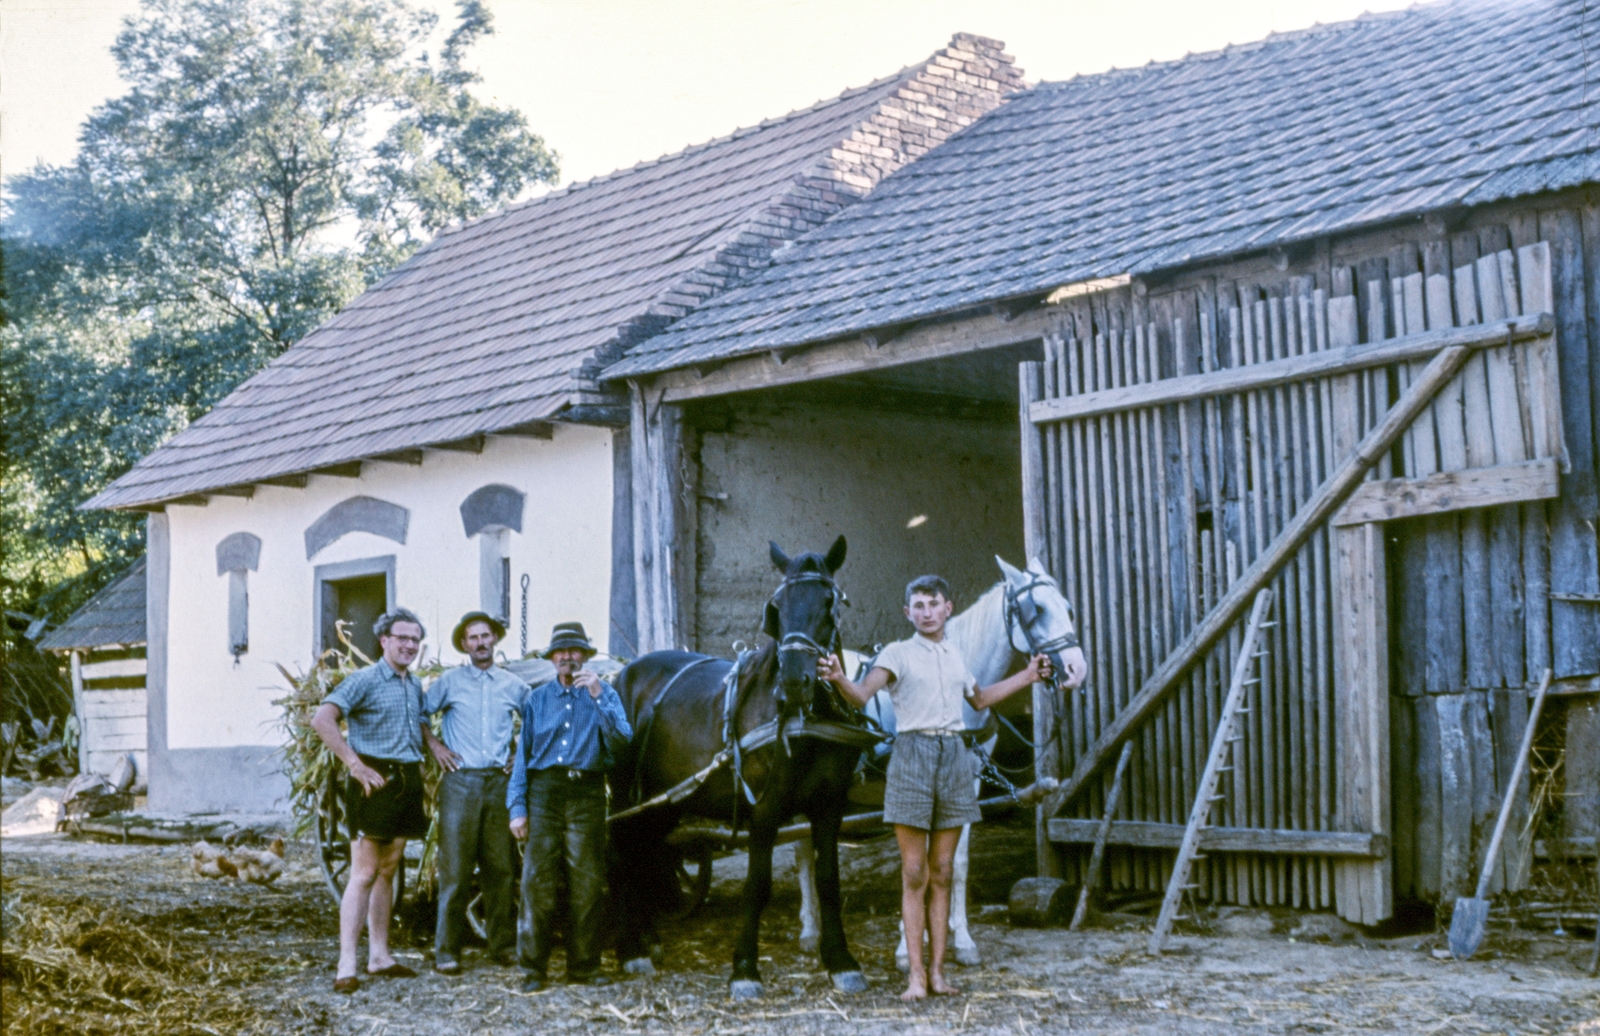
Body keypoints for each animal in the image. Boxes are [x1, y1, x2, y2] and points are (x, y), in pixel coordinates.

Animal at [608, 537, 870, 997]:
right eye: (777, 607)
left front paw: (840, 960)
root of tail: (621, 675)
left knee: (647, 854)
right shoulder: (764, 810)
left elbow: (828, 880)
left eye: (828, 603)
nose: (794, 683)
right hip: (627, 796)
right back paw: (631, 950)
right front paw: (745, 968)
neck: (804, 718)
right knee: (624, 857)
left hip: (664, 801)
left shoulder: (830, 806)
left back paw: (648, 939)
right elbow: (757, 885)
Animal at [796, 559, 1094, 972]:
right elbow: (913, 862)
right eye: (1036, 610)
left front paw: (961, 939)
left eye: (1067, 607)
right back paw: (809, 931)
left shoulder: (967, 781)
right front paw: (907, 947)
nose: (1076, 668)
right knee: (801, 853)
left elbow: (957, 862)